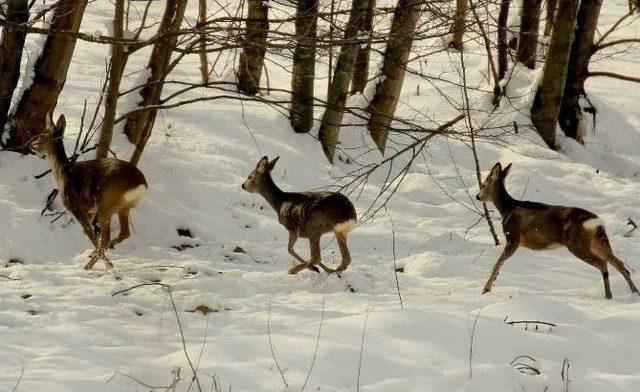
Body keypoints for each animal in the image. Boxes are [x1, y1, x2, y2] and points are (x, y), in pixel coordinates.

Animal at [33, 113, 148, 272]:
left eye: (42, 135)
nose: (32, 144)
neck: (62, 171)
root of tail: (140, 184)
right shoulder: (90, 209)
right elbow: (89, 233)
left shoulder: (76, 207)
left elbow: (90, 233)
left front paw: (106, 263)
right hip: (123, 207)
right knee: (124, 233)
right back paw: (98, 254)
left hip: (106, 204)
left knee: (106, 237)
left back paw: (91, 265)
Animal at [478, 162, 636, 300]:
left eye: (483, 184)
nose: (477, 196)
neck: (507, 209)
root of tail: (596, 222)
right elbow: (500, 263)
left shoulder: (513, 238)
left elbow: (498, 262)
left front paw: (486, 289)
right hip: (599, 241)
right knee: (620, 264)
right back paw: (634, 292)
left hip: (577, 244)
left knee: (603, 263)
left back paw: (609, 296)